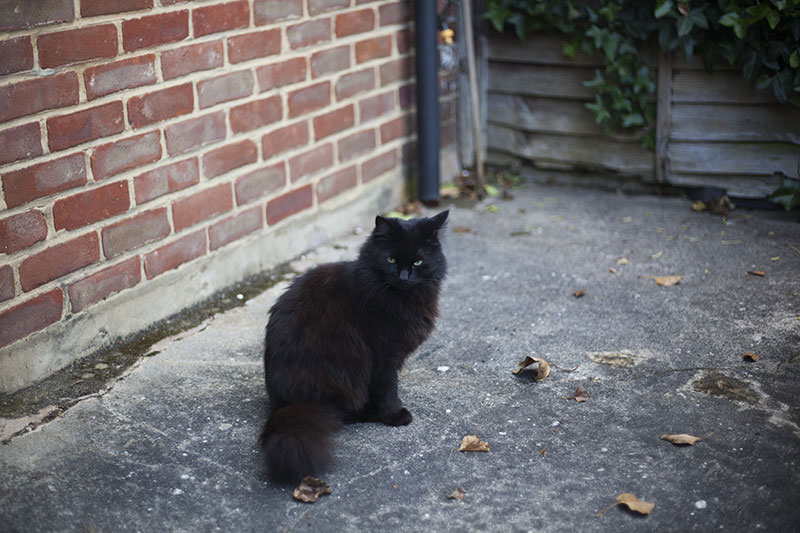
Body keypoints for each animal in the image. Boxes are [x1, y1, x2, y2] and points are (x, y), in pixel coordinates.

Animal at [262, 211, 450, 482]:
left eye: (418, 262)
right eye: (391, 259)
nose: (404, 277)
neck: (403, 299)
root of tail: (285, 403)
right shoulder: (383, 355)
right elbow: (388, 387)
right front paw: (394, 414)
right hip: (347, 371)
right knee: (340, 413)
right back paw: (370, 412)